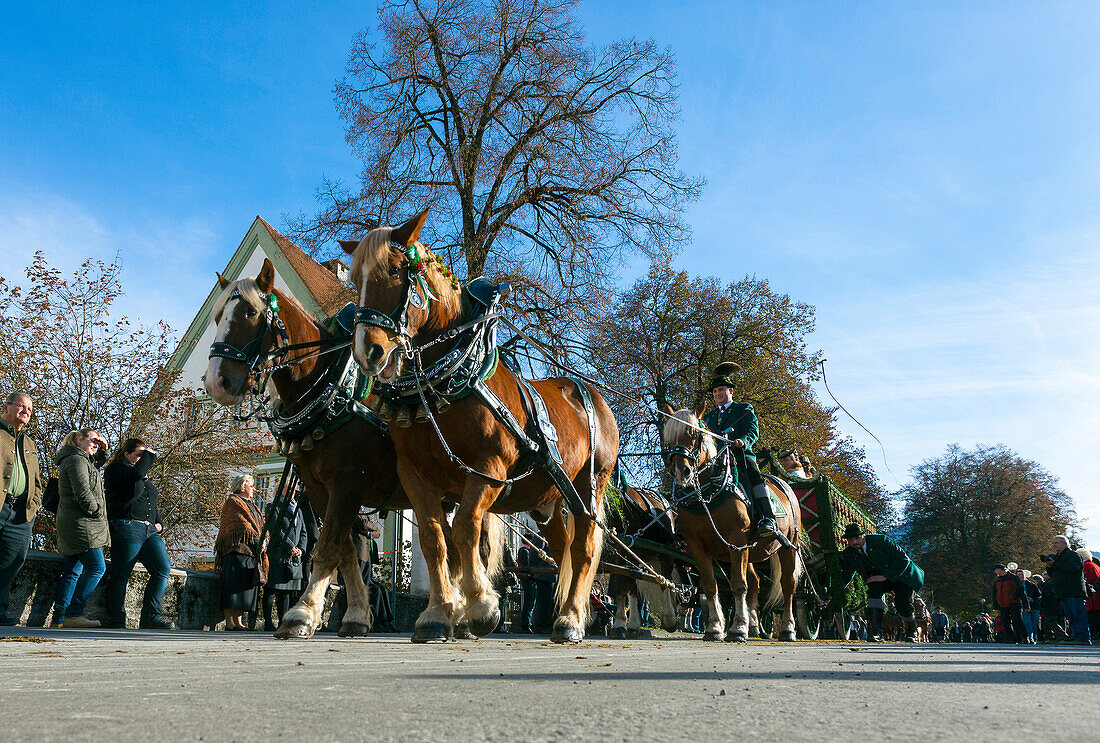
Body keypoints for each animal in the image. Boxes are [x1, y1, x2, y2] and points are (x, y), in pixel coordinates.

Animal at [343, 210, 620, 647]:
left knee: (585, 549)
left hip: (589, 485)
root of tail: (590, 392)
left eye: (397, 270)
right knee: (562, 548)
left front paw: (481, 606)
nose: (366, 351)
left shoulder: (489, 470)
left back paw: (572, 620)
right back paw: (562, 616)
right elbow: (434, 539)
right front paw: (438, 614)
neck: (446, 383)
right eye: (356, 280)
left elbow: (465, 531)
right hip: (548, 499)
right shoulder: (416, 474)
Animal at [655, 405, 805, 642]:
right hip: (751, 550)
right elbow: (710, 586)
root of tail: (784, 484)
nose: (680, 471)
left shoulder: (737, 540)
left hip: (789, 546)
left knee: (788, 586)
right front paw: (715, 628)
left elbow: (738, 585)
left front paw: (737, 628)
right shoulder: (698, 546)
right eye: (668, 438)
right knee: (755, 584)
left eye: (694, 434)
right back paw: (754, 626)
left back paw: (787, 629)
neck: (709, 493)